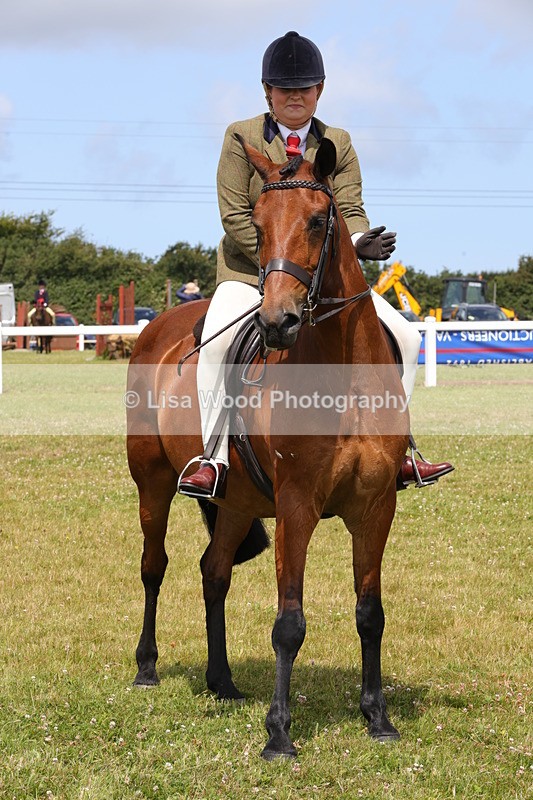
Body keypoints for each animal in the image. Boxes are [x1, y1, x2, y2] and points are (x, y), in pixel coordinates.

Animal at [126, 136, 409, 760]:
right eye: (256, 224)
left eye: (320, 219)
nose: (279, 321)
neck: (341, 372)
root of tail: (159, 326)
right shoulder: (297, 505)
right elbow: (290, 622)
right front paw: (279, 732)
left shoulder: (376, 506)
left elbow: (371, 613)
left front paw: (377, 717)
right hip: (152, 483)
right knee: (154, 566)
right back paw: (147, 667)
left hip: (234, 503)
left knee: (214, 572)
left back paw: (222, 680)